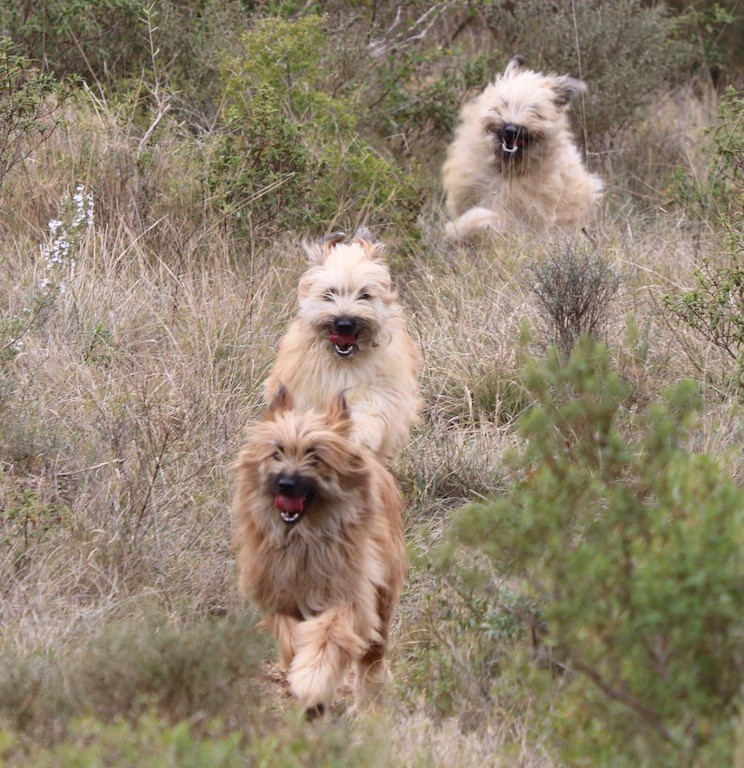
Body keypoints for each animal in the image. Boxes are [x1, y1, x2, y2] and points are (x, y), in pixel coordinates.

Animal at [231, 388, 406, 716]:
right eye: (277, 452)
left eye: (315, 456)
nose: (285, 484)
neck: (303, 537)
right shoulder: (279, 595)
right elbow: (290, 637)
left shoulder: (349, 595)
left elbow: (329, 636)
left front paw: (313, 680)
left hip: (383, 594)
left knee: (372, 657)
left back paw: (367, 704)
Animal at [264, 230, 422, 468]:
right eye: (329, 294)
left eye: (364, 294)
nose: (344, 324)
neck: (342, 363)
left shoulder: (381, 392)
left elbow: (369, 412)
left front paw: (355, 435)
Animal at [442, 56, 604, 240]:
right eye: (504, 103)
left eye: (535, 110)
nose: (511, 129)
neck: (506, 170)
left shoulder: (522, 220)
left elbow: (483, 217)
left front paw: (454, 229)